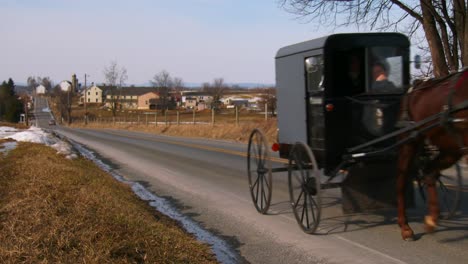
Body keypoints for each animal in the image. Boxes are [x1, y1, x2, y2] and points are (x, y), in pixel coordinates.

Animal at [396, 67, 468, 240]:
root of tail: (415, 87)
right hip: (409, 143)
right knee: (401, 179)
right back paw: (405, 227)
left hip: (451, 147)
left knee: (429, 171)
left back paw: (431, 219)